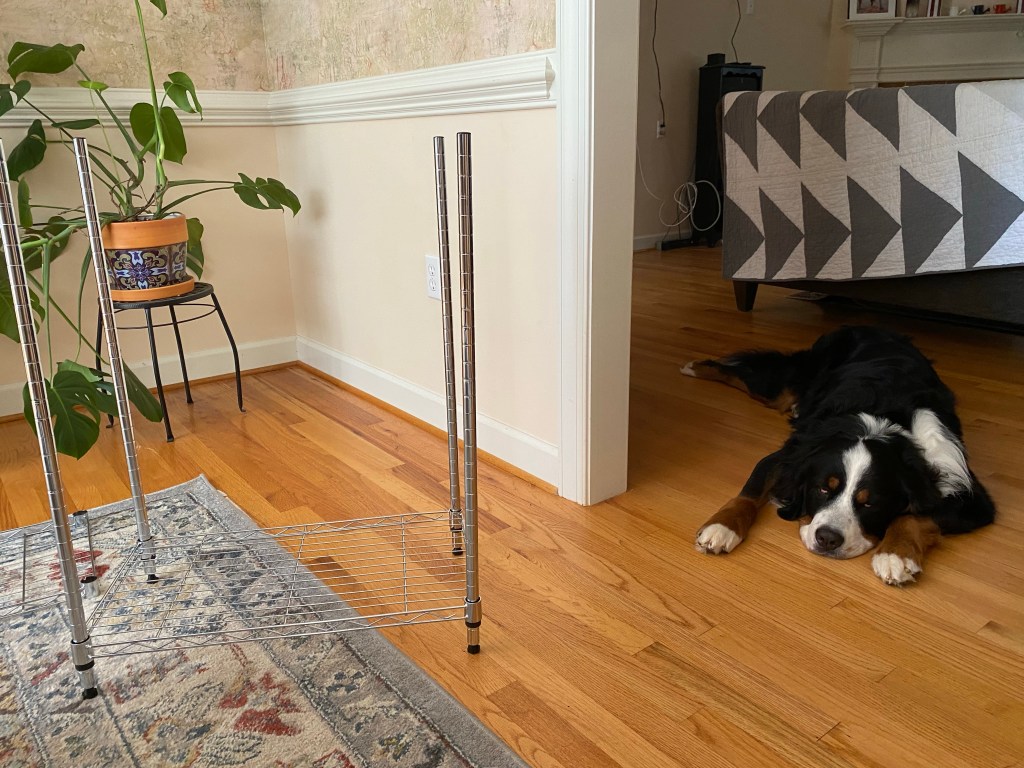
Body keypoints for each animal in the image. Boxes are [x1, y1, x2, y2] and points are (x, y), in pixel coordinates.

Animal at [681, 326, 995, 586]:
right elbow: (748, 494)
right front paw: (721, 528)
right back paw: (695, 366)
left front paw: (896, 554)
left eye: (869, 504)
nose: (828, 539)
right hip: (785, 386)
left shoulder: (970, 497)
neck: (881, 421)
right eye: (822, 489)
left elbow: (914, 517)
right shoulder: (788, 456)